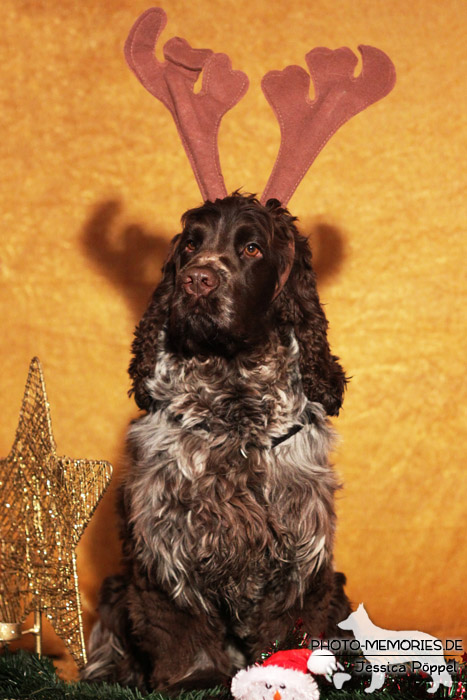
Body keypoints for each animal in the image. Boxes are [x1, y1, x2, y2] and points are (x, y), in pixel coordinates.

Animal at [82, 194, 350, 692]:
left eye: (252, 248)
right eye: (191, 244)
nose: (196, 280)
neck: (233, 402)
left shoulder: (300, 545)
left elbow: (292, 622)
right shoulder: (166, 540)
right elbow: (180, 621)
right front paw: (196, 677)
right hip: (114, 587)